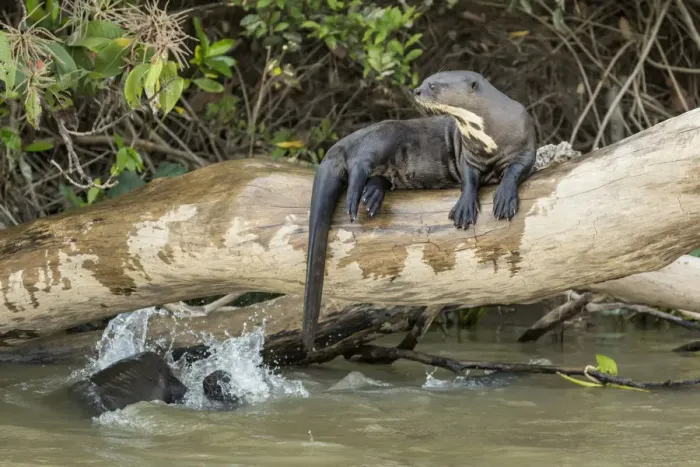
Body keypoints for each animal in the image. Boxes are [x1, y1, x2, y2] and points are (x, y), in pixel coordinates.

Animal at [301, 70, 537, 352]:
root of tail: (347, 139)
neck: (490, 134)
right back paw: (357, 196)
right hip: (386, 135)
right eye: (426, 81)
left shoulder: (526, 146)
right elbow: (469, 179)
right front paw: (465, 208)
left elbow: (516, 171)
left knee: (375, 174)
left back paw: (372, 196)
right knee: (360, 163)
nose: (416, 91)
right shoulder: (467, 157)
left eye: (433, 85)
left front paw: (504, 198)